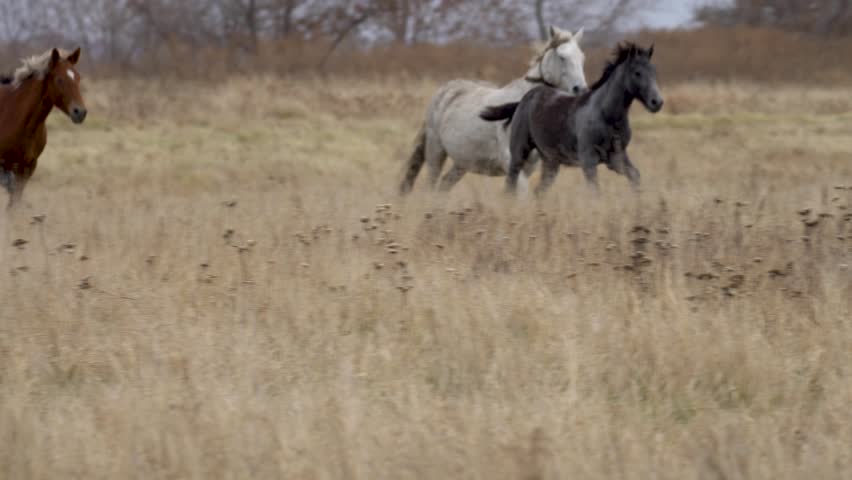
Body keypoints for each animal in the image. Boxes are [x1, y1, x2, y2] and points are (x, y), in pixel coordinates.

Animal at [399, 26, 588, 195]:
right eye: (562, 57)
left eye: (581, 58)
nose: (581, 89)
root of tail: (443, 91)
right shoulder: (511, 160)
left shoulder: (528, 167)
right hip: (435, 152)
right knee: (431, 186)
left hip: (462, 163)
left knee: (443, 186)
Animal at [480, 42, 663, 196]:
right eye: (637, 73)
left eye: (654, 71)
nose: (657, 102)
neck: (606, 116)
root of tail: (524, 99)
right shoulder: (589, 160)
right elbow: (595, 192)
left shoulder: (617, 157)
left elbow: (635, 176)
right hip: (519, 151)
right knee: (510, 183)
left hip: (551, 161)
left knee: (539, 191)